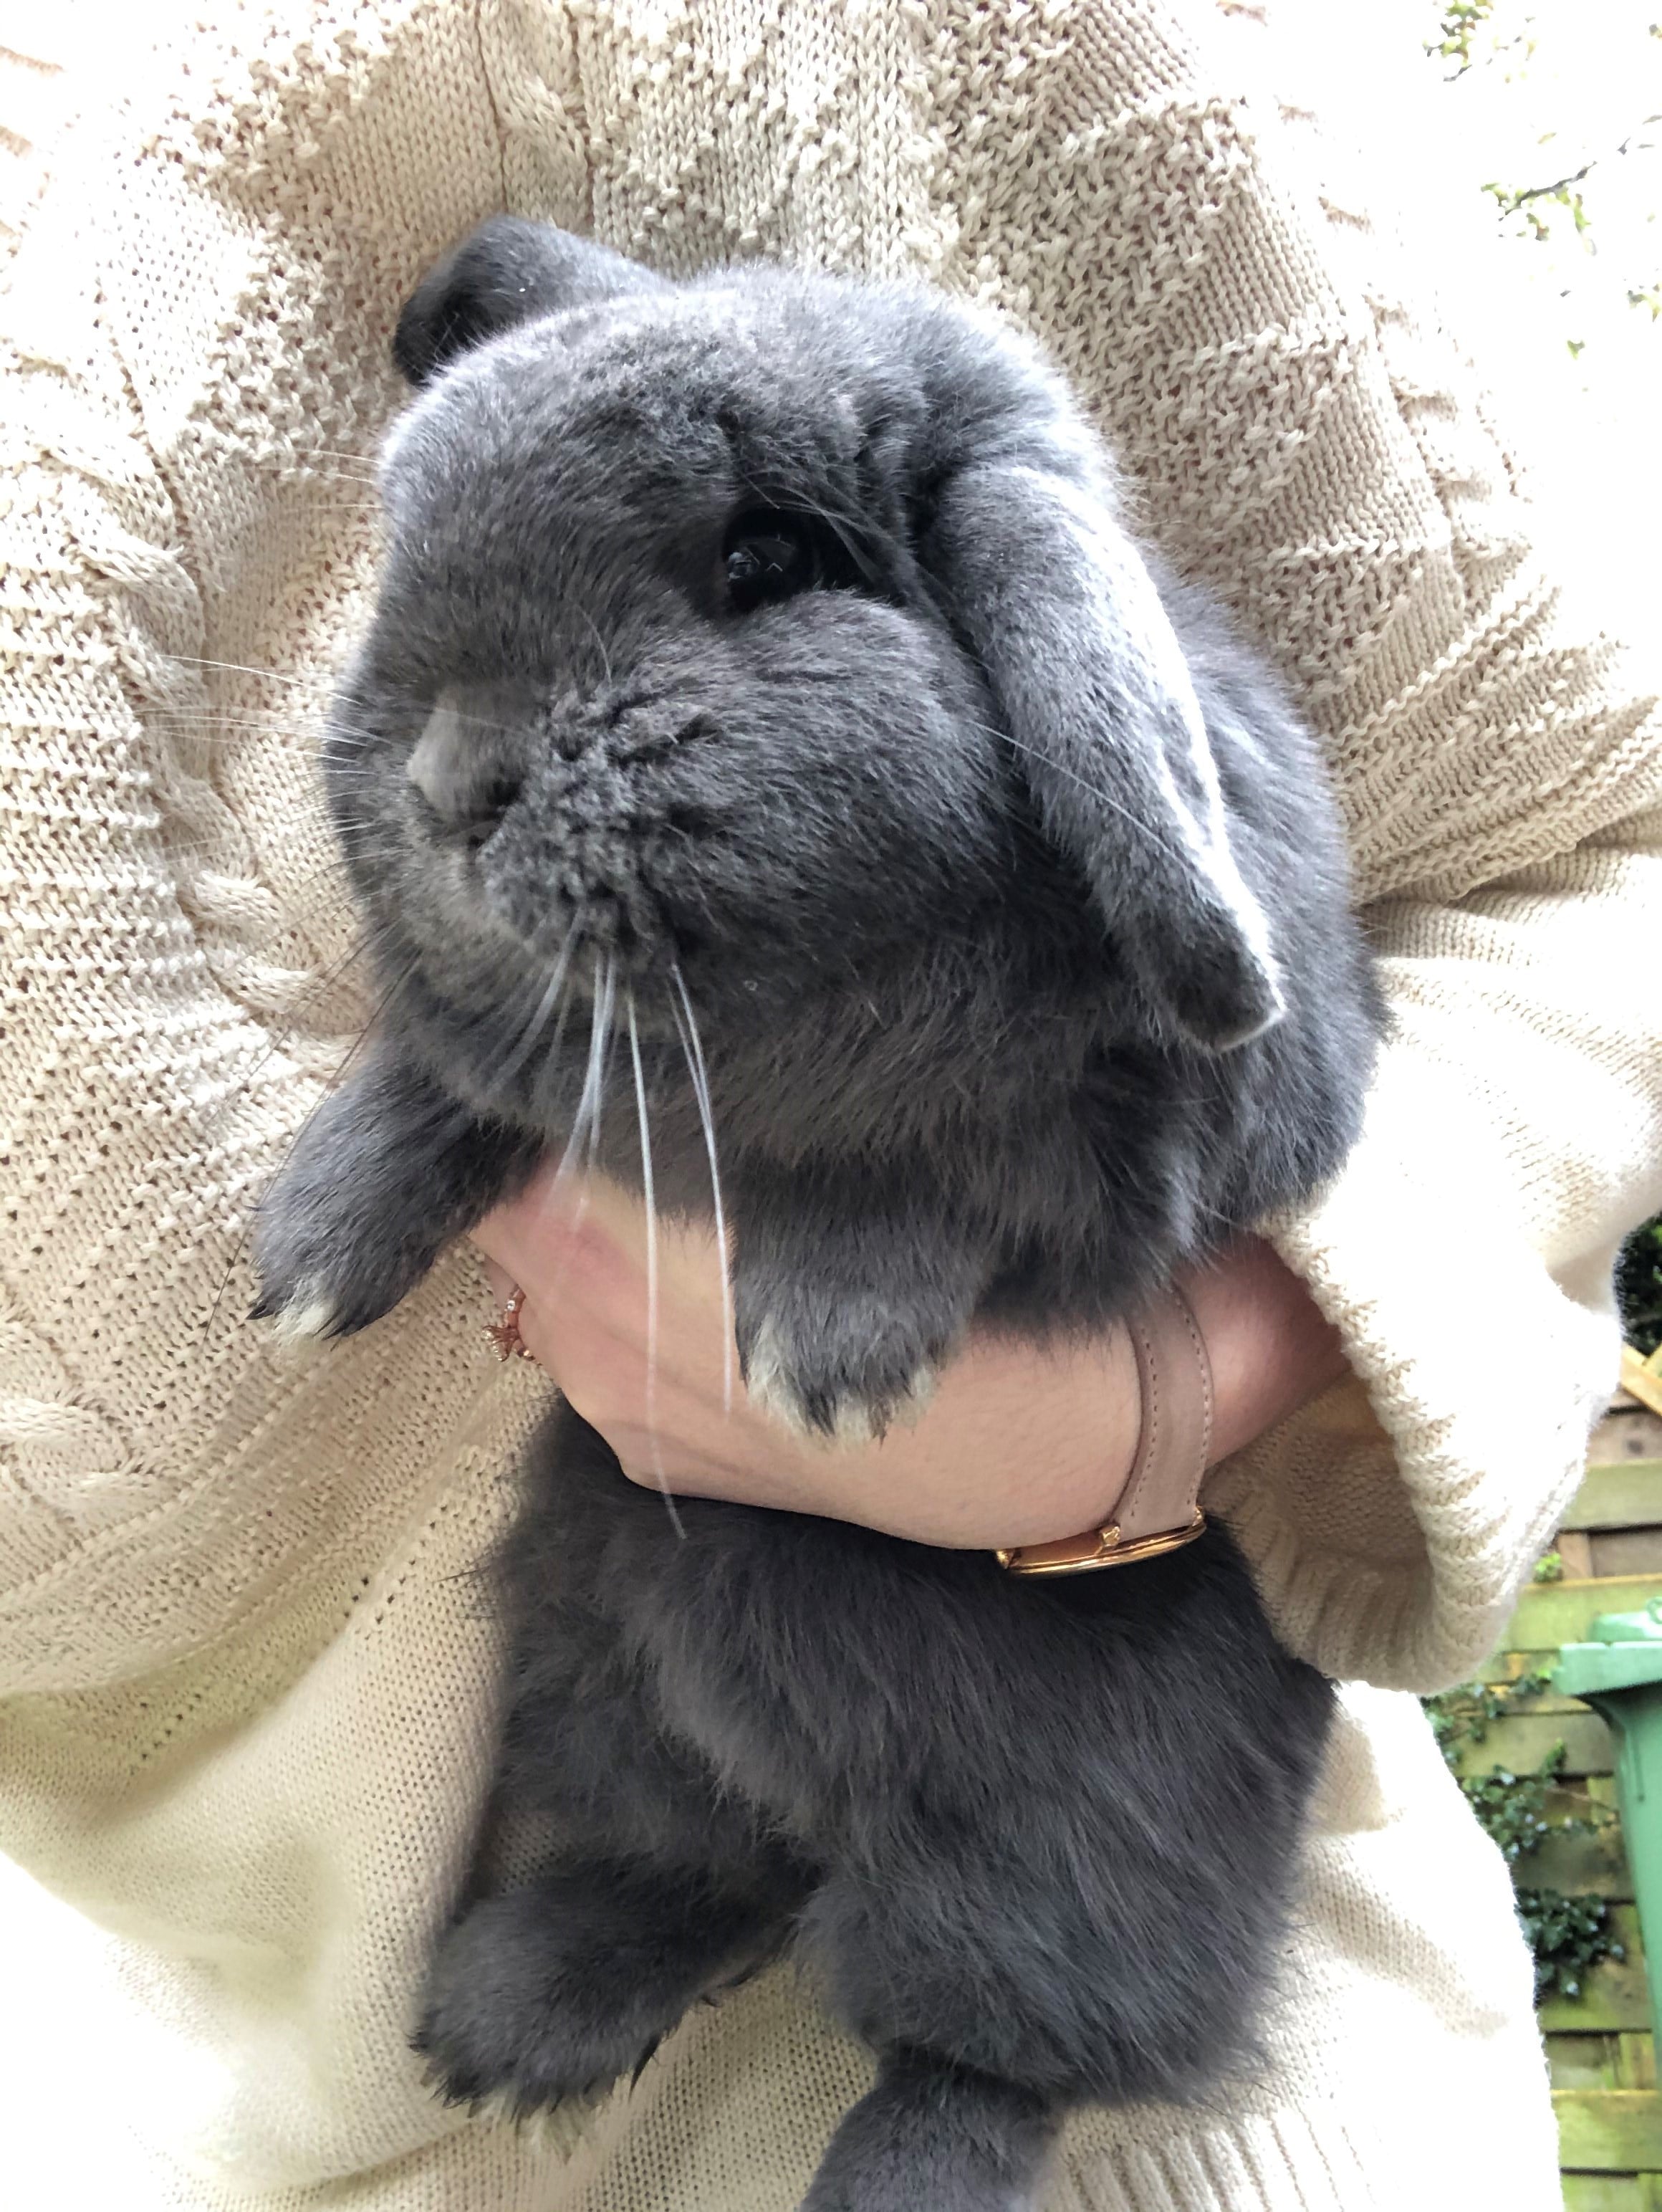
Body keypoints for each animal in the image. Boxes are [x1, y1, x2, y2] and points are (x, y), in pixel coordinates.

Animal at [252, 218, 1387, 2212]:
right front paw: (312, 1254)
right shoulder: (507, 1053)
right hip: (597, 1668)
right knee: (707, 1872)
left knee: (982, 2050)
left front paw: (826, 1356)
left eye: (763, 562)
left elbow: (924, 1167)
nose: (447, 783)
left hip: (1074, 1864)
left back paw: (883, 2168)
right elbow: (438, 1086)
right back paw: (516, 2020)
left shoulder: (1129, 1136)